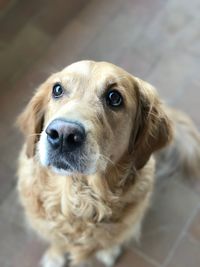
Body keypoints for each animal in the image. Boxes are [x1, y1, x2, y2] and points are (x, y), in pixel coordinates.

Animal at [16, 61, 200, 267]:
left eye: (114, 97)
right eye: (57, 89)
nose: (63, 134)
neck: (79, 195)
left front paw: (104, 251)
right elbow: (56, 240)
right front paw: (55, 255)